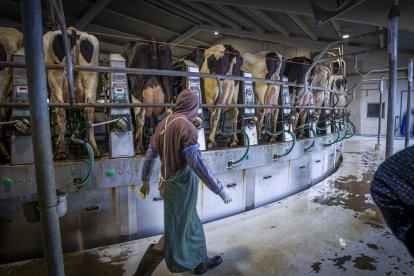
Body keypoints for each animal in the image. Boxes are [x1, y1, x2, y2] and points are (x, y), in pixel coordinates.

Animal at [43, 27, 100, 160]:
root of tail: (72, 31)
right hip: (91, 78)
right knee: (89, 111)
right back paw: (94, 149)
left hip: (55, 77)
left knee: (61, 112)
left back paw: (60, 151)